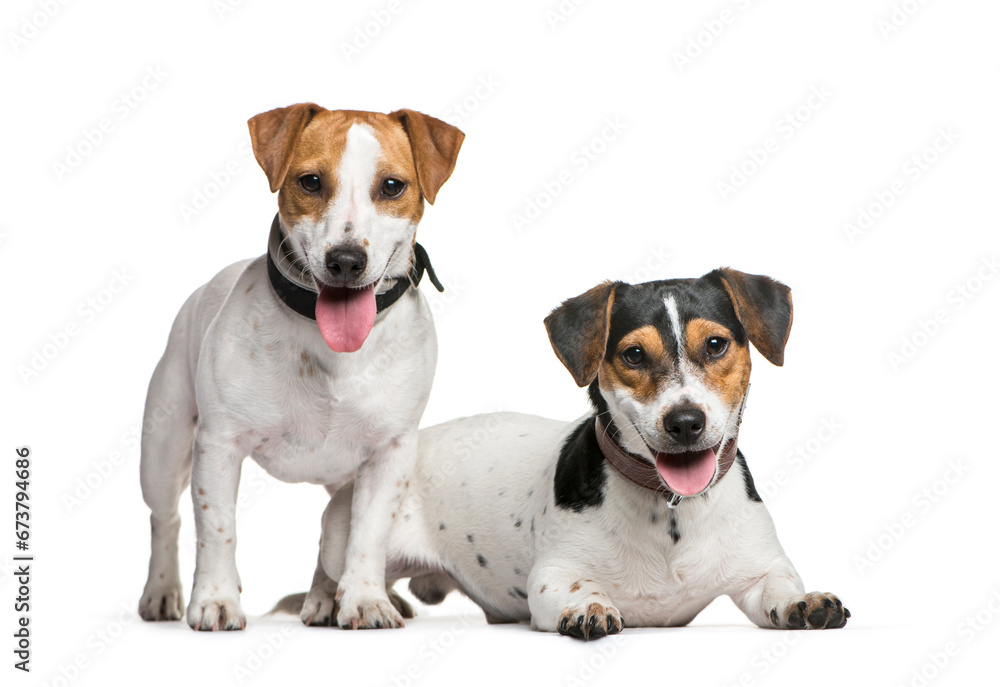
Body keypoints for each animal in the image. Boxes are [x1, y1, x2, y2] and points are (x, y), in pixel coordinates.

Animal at [138, 103, 464, 636]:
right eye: (310, 181)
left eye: (392, 187)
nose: (347, 261)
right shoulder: (218, 446)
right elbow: (218, 528)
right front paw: (216, 600)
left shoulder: (389, 456)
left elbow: (367, 535)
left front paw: (365, 599)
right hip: (162, 451)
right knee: (164, 520)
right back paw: (162, 590)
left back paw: (328, 598)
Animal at [300, 268, 848, 640]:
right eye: (633, 355)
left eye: (715, 345)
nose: (685, 422)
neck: (670, 509)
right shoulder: (551, 577)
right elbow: (580, 587)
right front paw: (591, 607)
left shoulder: (763, 570)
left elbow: (779, 589)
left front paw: (803, 603)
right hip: (346, 532)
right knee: (333, 571)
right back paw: (328, 603)